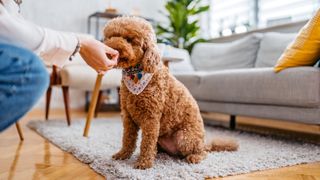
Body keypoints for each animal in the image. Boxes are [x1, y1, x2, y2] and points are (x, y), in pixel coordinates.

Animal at [102, 16, 238, 169]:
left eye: (129, 39)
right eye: (110, 37)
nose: (111, 48)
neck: (136, 73)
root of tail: (204, 143)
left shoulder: (151, 117)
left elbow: (146, 143)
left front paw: (144, 163)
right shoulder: (128, 116)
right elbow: (128, 139)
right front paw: (123, 155)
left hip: (183, 137)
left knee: (202, 152)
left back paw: (194, 157)